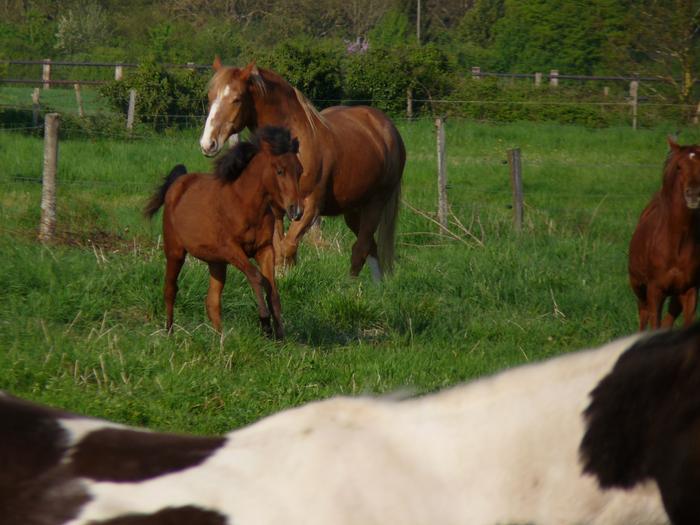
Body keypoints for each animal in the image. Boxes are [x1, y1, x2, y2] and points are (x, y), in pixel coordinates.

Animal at [145, 125, 300, 338]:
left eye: (299, 170)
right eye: (280, 171)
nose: (296, 211)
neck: (244, 204)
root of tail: (177, 183)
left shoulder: (265, 249)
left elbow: (273, 290)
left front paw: (280, 336)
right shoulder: (230, 249)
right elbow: (257, 277)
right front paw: (265, 323)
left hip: (216, 263)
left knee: (211, 301)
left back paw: (221, 339)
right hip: (175, 251)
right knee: (170, 290)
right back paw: (170, 333)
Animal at [198, 57, 404, 280]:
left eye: (236, 99)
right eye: (210, 97)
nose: (207, 143)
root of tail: (387, 127)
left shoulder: (309, 206)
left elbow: (287, 247)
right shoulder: (276, 210)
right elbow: (279, 249)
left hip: (376, 203)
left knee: (361, 249)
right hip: (354, 208)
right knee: (370, 247)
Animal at [628, 137, 700, 330]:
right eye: (679, 166)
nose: (693, 194)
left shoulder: (690, 290)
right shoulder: (655, 290)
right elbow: (654, 322)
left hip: (676, 294)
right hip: (639, 286)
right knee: (643, 313)